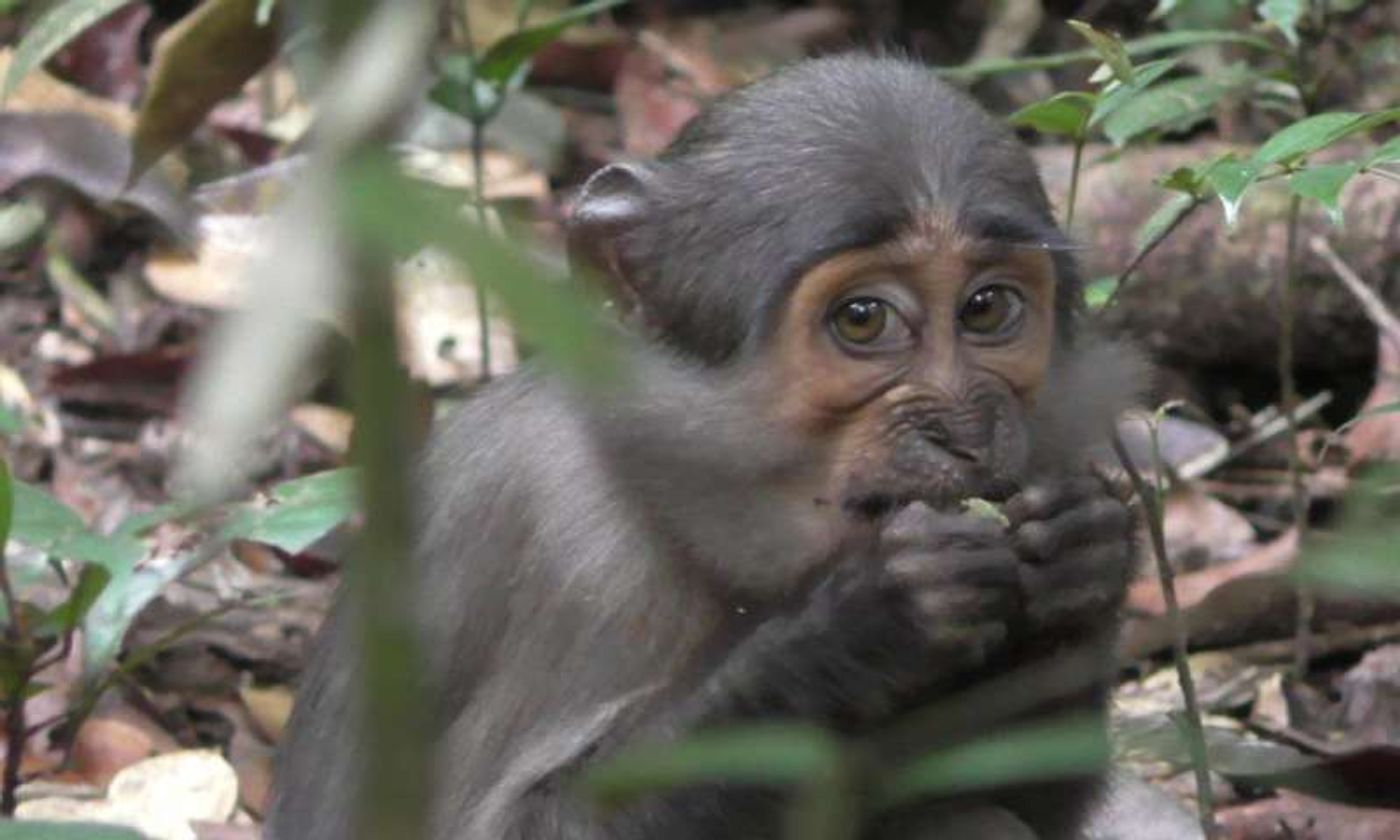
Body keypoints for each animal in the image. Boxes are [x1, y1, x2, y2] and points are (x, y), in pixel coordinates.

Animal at [270, 54, 1148, 840]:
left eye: (988, 308)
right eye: (864, 319)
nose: (964, 430)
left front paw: (1085, 553)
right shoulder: (569, 550)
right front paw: (855, 625)